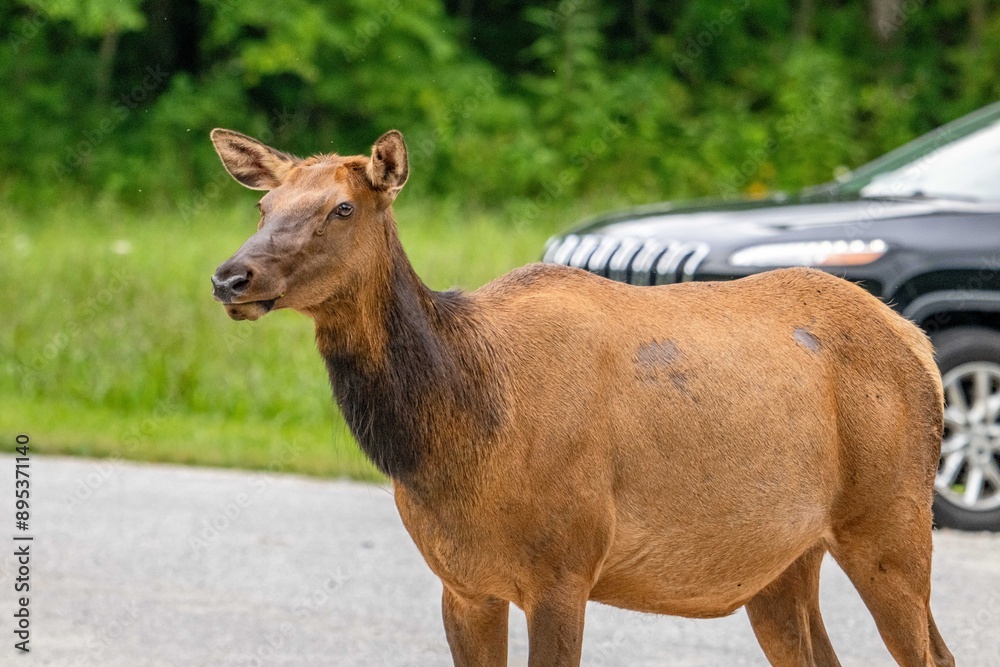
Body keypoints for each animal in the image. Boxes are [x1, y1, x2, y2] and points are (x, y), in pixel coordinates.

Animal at [208, 127, 954, 667]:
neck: (466, 427)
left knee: (935, 654)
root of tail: (918, 342)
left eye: (341, 208)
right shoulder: (462, 584)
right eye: (263, 207)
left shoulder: (565, 565)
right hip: (782, 558)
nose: (230, 276)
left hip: (891, 518)